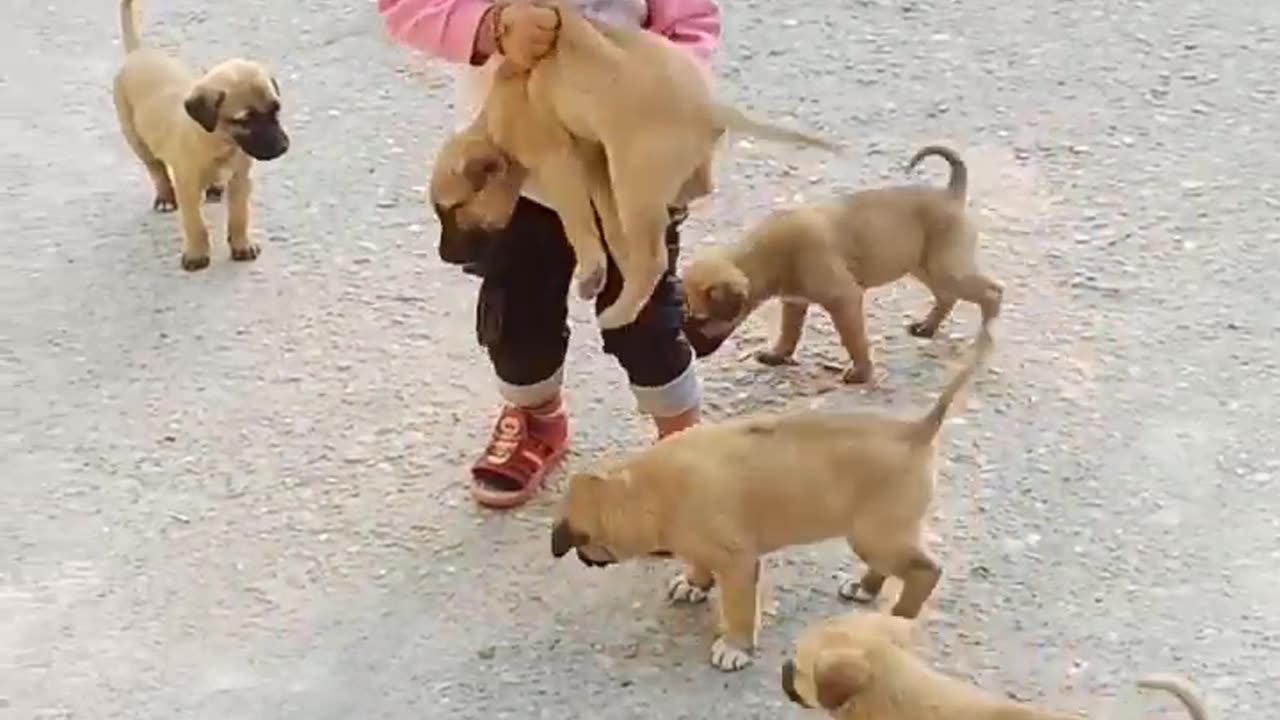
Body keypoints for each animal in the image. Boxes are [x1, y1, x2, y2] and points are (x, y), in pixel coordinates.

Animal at [111, 0, 289, 269]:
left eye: (276, 108)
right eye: (244, 120)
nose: (283, 147)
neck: (217, 142)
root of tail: (137, 54)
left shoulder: (241, 181)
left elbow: (240, 217)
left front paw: (242, 245)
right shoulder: (187, 186)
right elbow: (195, 223)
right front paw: (197, 254)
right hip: (135, 137)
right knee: (156, 169)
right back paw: (165, 196)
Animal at [430, 0, 839, 327]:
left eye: (452, 210)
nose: (443, 256)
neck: (495, 118)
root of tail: (707, 106)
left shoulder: (560, 162)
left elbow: (578, 221)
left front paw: (593, 271)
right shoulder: (596, 163)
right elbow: (609, 226)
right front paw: (617, 263)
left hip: (633, 180)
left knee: (655, 257)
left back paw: (619, 313)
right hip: (632, 174)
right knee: (688, 197)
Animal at [545, 316, 993, 671]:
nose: (582, 558)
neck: (642, 489)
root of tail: (916, 430)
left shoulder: (739, 563)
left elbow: (739, 609)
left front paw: (735, 647)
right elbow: (699, 563)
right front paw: (695, 583)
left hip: (874, 535)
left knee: (925, 572)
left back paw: (897, 619)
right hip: (878, 535)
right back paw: (865, 588)